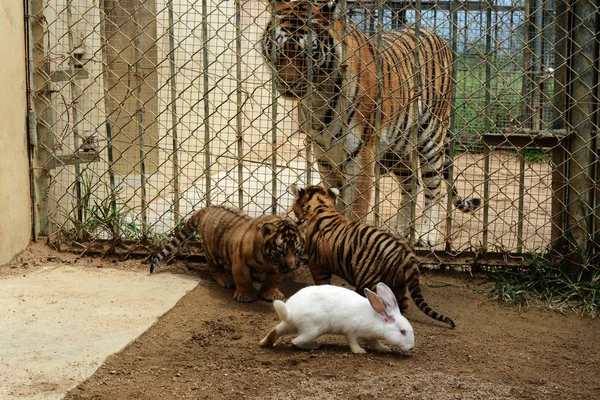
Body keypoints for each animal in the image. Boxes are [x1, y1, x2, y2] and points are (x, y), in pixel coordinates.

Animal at [260, 0, 480, 245]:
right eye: (279, 48)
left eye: (308, 52)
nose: (286, 84)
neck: (319, 97)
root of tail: (438, 37)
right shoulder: (325, 158)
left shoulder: (361, 158)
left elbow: (355, 212)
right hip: (398, 147)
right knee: (411, 184)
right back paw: (401, 229)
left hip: (431, 136)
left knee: (435, 188)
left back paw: (426, 235)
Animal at [260, 282, 414, 354]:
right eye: (403, 332)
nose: (411, 347)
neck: (378, 319)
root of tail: (291, 312)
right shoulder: (351, 331)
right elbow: (352, 342)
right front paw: (359, 351)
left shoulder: (370, 337)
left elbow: (375, 343)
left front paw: (384, 349)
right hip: (313, 330)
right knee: (295, 342)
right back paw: (313, 346)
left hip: (288, 325)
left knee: (276, 331)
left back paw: (264, 343)